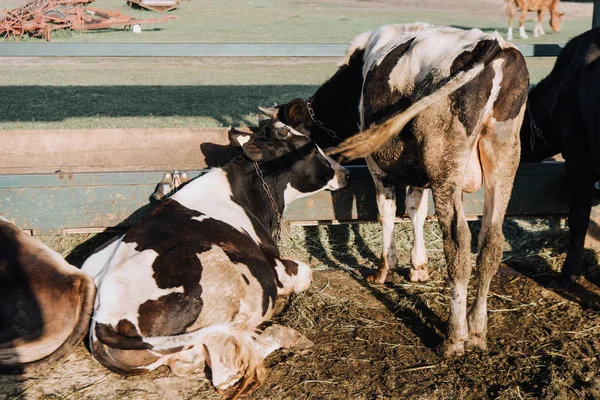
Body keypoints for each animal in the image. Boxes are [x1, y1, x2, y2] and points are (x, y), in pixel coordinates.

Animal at [82, 120, 350, 398]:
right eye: (311, 149)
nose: (346, 173)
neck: (246, 195)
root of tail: (103, 319)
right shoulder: (276, 268)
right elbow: (307, 273)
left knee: (187, 361)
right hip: (216, 270)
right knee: (227, 372)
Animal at [260, 23, 528, 354]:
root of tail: (493, 42)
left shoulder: (376, 162)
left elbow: (386, 211)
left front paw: (384, 269)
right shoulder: (416, 170)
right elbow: (415, 210)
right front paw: (418, 268)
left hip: (446, 162)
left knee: (458, 242)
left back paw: (455, 337)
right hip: (504, 153)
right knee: (491, 242)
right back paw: (478, 331)